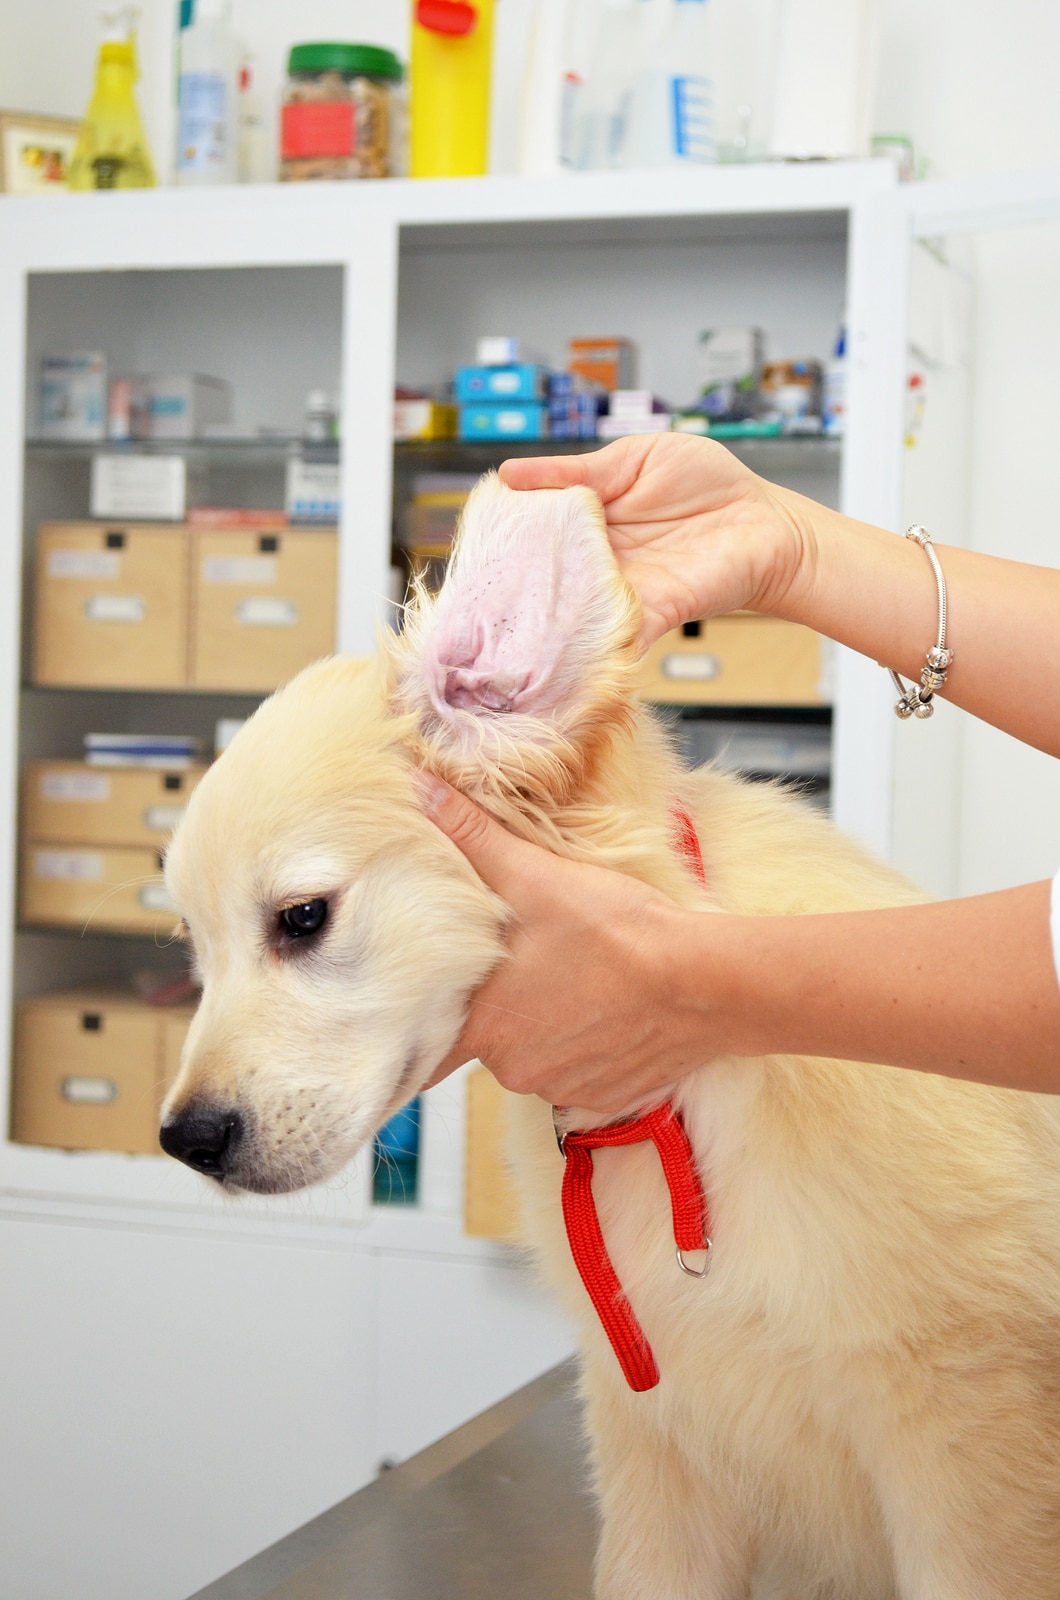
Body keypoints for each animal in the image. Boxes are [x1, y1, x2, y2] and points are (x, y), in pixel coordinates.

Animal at [161, 473, 1060, 1600]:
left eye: (304, 916)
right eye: (191, 945)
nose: (184, 1141)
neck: (674, 1111)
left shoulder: (966, 1440)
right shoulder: (656, 1446)